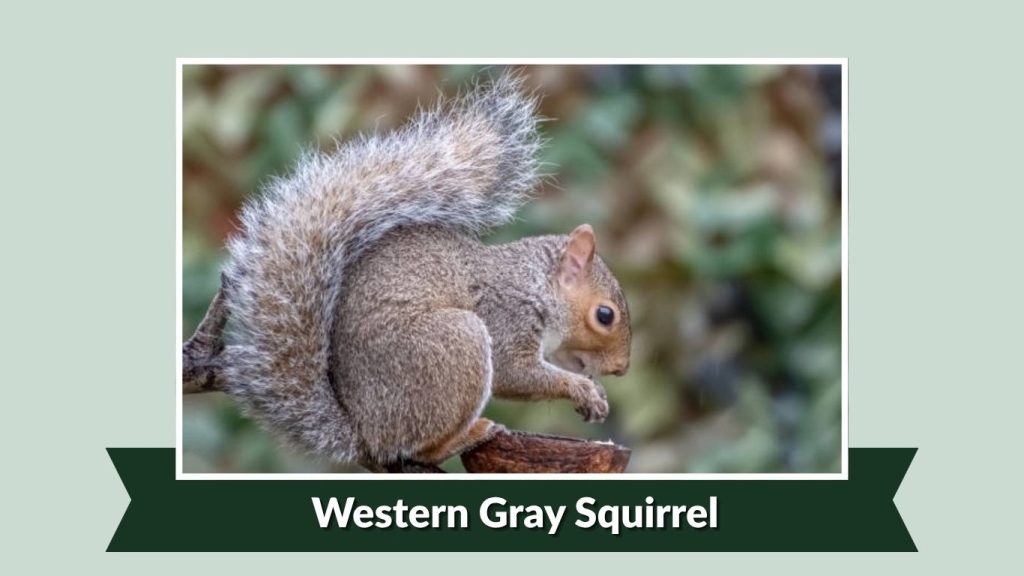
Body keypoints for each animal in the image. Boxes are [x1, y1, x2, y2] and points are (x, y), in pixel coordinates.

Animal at [219, 74, 632, 471]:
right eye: (605, 315)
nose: (621, 369)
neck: (535, 283)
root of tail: (364, 432)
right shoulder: (507, 315)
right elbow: (513, 373)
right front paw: (582, 389)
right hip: (454, 346)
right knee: (419, 447)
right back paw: (467, 435)